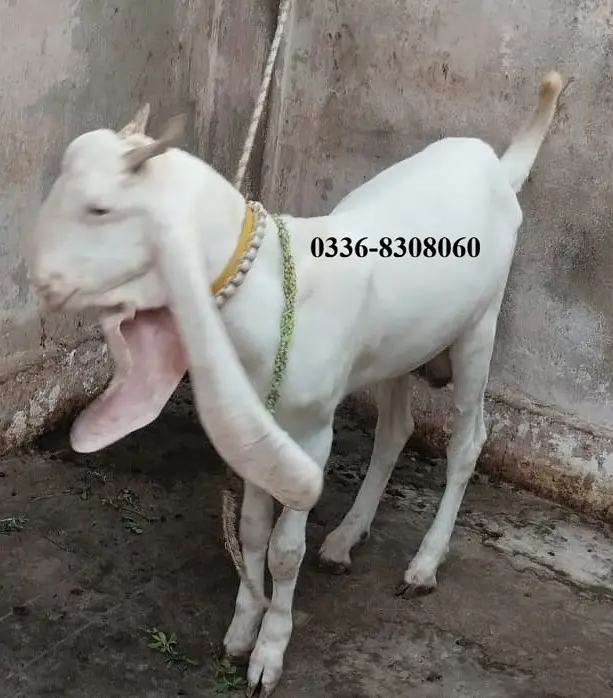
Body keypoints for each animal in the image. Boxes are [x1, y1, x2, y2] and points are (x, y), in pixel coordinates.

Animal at [30, 71, 563, 696]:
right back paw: (346, 538)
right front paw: (242, 628)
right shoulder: (265, 422)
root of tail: (497, 166)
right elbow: (252, 529)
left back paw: (424, 564)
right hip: (397, 351)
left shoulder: (310, 434)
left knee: (468, 441)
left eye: (100, 208)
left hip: (480, 327)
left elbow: (285, 550)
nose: (42, 281)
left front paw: (270, 651)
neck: (273, 291)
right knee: (395, 429)